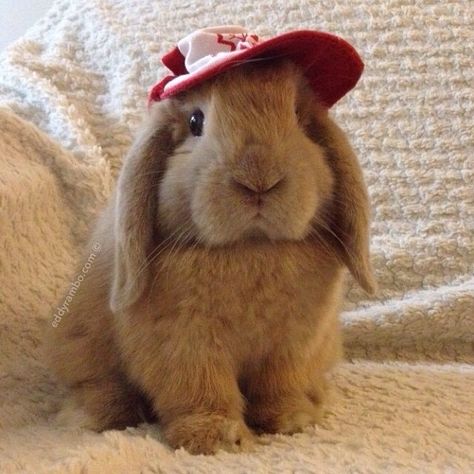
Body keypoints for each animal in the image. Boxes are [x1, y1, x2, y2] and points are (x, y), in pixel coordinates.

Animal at [46, 59, 376, 456]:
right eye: (195, 122)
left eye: (298, 115)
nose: (258, 179)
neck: (251, 248)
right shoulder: (184, 344)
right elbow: (200, 389)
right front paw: (215, 438)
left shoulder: (295, 343)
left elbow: (281, 384)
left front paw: (293, 419)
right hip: (81, 347)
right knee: (95, 384)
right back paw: (99, 414)